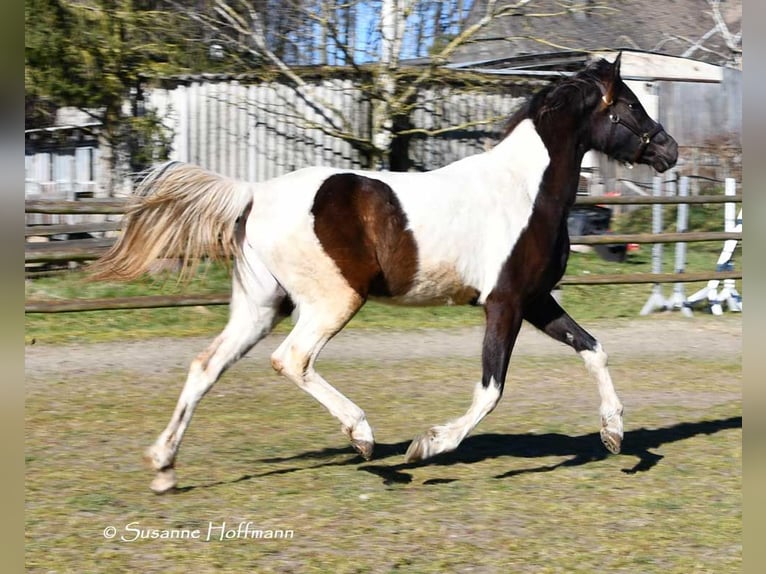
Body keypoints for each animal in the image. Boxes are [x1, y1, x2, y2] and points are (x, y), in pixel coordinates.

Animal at [91, 54, 678, 493]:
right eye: (630, 104)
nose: (669, 149)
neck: (524, 190)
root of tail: (254, 194)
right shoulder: (504, 302)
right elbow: (491, 389)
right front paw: (427, 446)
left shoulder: (536, 300)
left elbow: (593, 348)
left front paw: (614, 435)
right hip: (333, 301)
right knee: (291, 360)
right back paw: (365, 438)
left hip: (261, 307)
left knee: (206, 365)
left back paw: (164, 467)